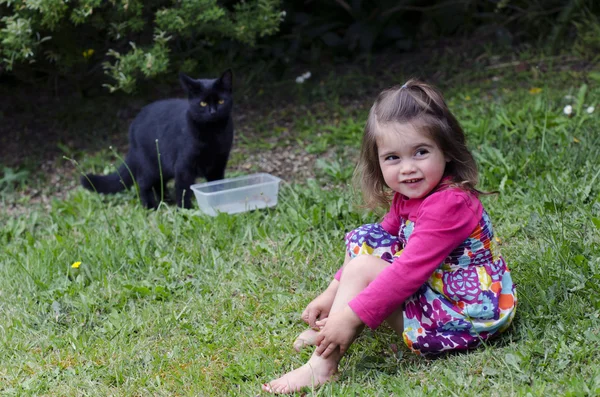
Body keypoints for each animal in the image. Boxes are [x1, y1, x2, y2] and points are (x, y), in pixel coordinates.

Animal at [81, 70, 234, 209]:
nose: (213, 112)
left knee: (159, 182)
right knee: (143, 182)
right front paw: (185, 209)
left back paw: (166, 200)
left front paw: (218, 203)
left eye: (221, 101)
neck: (213, 133)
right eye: (203, 103)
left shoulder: (218, 164)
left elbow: (217, 186)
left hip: (162, 165)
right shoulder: (184, 166)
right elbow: (183, 189)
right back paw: (151, 206)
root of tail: (133, 125)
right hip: (151, 165)